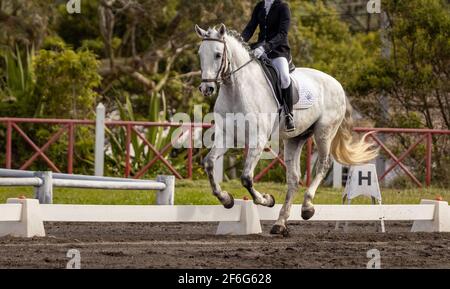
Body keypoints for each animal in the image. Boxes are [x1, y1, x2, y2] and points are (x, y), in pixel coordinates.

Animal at [195, 24, 378, 236]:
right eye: (200, 54)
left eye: (218, 55)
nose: (206, 88)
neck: (236, 89)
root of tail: (337, 83)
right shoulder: (227, 136)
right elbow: (209, 163)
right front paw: (226, 199)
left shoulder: (258, 140)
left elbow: (246, 178)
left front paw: (267, 199)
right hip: (295, 138)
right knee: (294, 178)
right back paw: (280, 223)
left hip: (324, 133)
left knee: (323, 165)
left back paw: (307, 207)